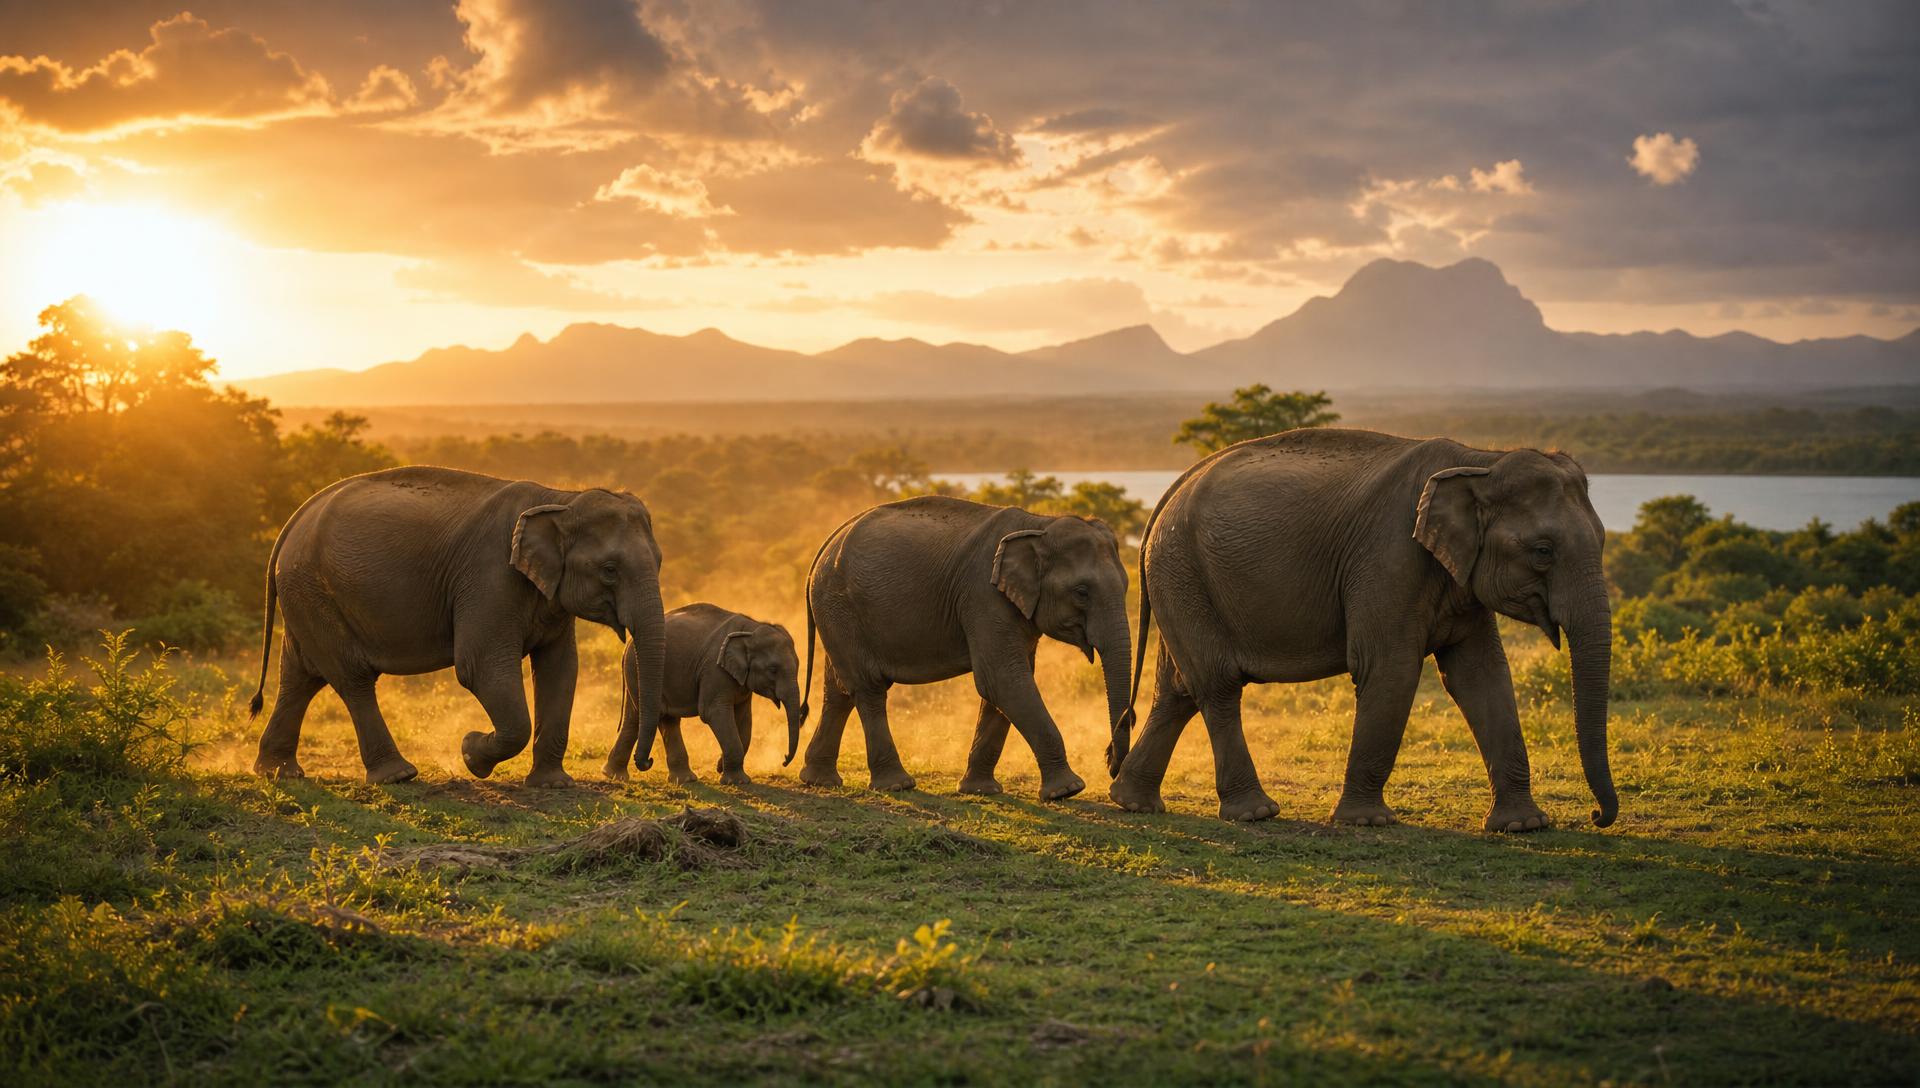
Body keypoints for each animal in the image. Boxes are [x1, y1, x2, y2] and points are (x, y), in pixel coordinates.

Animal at [246, 466, 667, 787]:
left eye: (660, 562)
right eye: (610, 570)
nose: (644, 763)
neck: (561, 498)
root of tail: (294, 521)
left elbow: (560, 669)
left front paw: (553, 785)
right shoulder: (488, 579)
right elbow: (479, 667)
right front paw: (470, 753)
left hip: (305, 593)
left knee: (300, 677)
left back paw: (279, 772)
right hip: (312, 588)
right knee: (352, 678)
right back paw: (397, 776)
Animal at [602, 603, 806, 785]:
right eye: (773, 670)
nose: (784, 759)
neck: (751, 628)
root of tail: (627, 645)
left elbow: (744, 719)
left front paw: (721, 766)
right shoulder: (714, 670)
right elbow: (713, 712)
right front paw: (737, 782)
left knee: (642, 718)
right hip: (637, 670)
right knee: (654, 715)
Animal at [798, 496, 1136, 799]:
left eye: (1126, 587)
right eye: (1081, 592)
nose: (1110, 762)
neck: (1040, 524)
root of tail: (826, 545)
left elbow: (1004, 685)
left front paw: (981, 791)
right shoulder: (983, 596)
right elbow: (1003, 679)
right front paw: (1066, 791)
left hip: (836, 612)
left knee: (839, 690)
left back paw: (820, 780)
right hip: (840, 606)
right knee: (868, 687)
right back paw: (897, 785)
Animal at [1108, 429, 1616, 831]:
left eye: (1603, 539)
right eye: (1543, 551)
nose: (1596, 816)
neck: (1481, 460)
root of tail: (1170, 491)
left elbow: (1481, 675)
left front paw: (1524, 825)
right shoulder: (1387, 559)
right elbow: (1390, 669)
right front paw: (1368, 822)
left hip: (1180, 578)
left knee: (1179, 690)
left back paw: (1134, 803)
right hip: (1183, 571)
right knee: (1217, 684)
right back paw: (1255, 813)